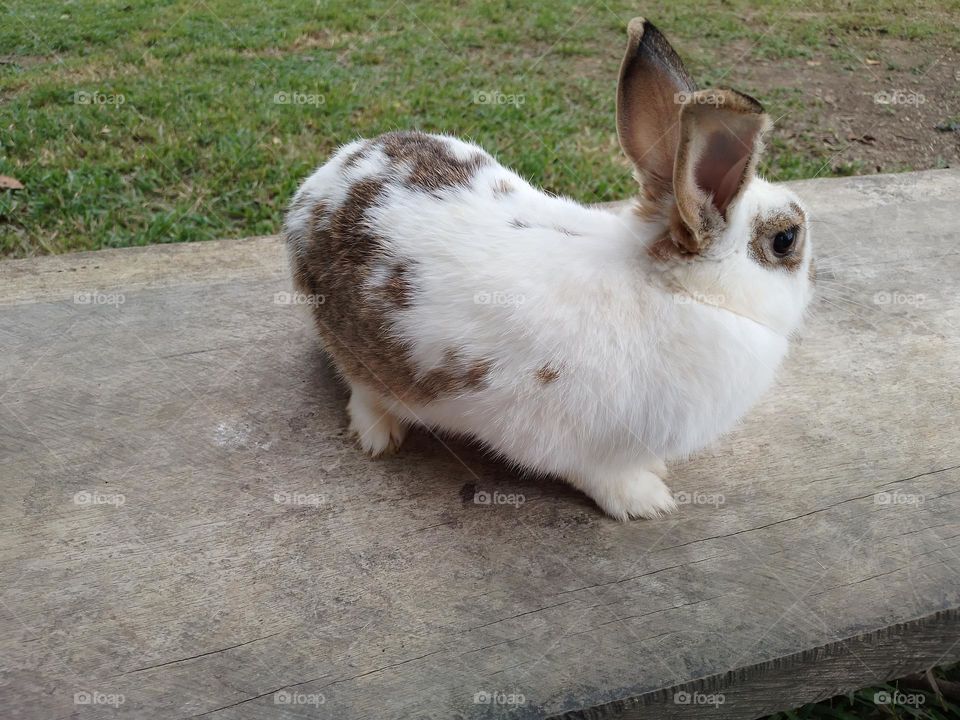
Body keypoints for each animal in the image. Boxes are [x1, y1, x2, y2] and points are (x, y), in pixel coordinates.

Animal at [282, 18, 815, 520]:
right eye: (785, 240)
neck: (677, 291)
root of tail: (320, 184)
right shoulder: (575, 441)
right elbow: (601, 474)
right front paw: (648, 499)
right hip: (355, 346)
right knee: (361, 386)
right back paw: (380, 434)